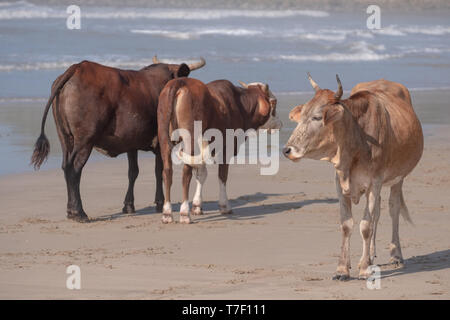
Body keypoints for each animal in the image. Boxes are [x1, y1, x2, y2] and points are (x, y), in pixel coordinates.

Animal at [31, 56, 206, 221]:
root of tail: (78, 67)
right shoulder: (160, 142)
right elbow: (159, 171)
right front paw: (160, 202)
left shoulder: (131, 143)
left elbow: (133, 172)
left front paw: (128, 205)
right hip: (84, 140)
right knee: (73, 168)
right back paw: (78, 212)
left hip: (66, 139)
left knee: (66, 167)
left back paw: (71, 211)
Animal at [156, 78, 280, 224]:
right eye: (274, 104)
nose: (280, 123)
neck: (240, 105)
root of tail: (180, 81)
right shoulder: (227, 148)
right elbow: (222, 176)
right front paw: (224, 205)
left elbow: (201, 175)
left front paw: (197, 206)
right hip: (190, 138)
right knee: (186, 173)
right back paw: (184, 212)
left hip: (163, 137)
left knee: (167, 172)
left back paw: (167, 213)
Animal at [284, 74, 424, 280]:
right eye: (301, 117)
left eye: (317, 117)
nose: (287, 150)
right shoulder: (339, 182)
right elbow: (347, 224)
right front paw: (343, 269)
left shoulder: (375, 182)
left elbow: (365, 226)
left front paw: (364, 269)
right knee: (378, 213)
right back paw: (371, 256)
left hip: (398, 179)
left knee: (393, 210)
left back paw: (395, 255)